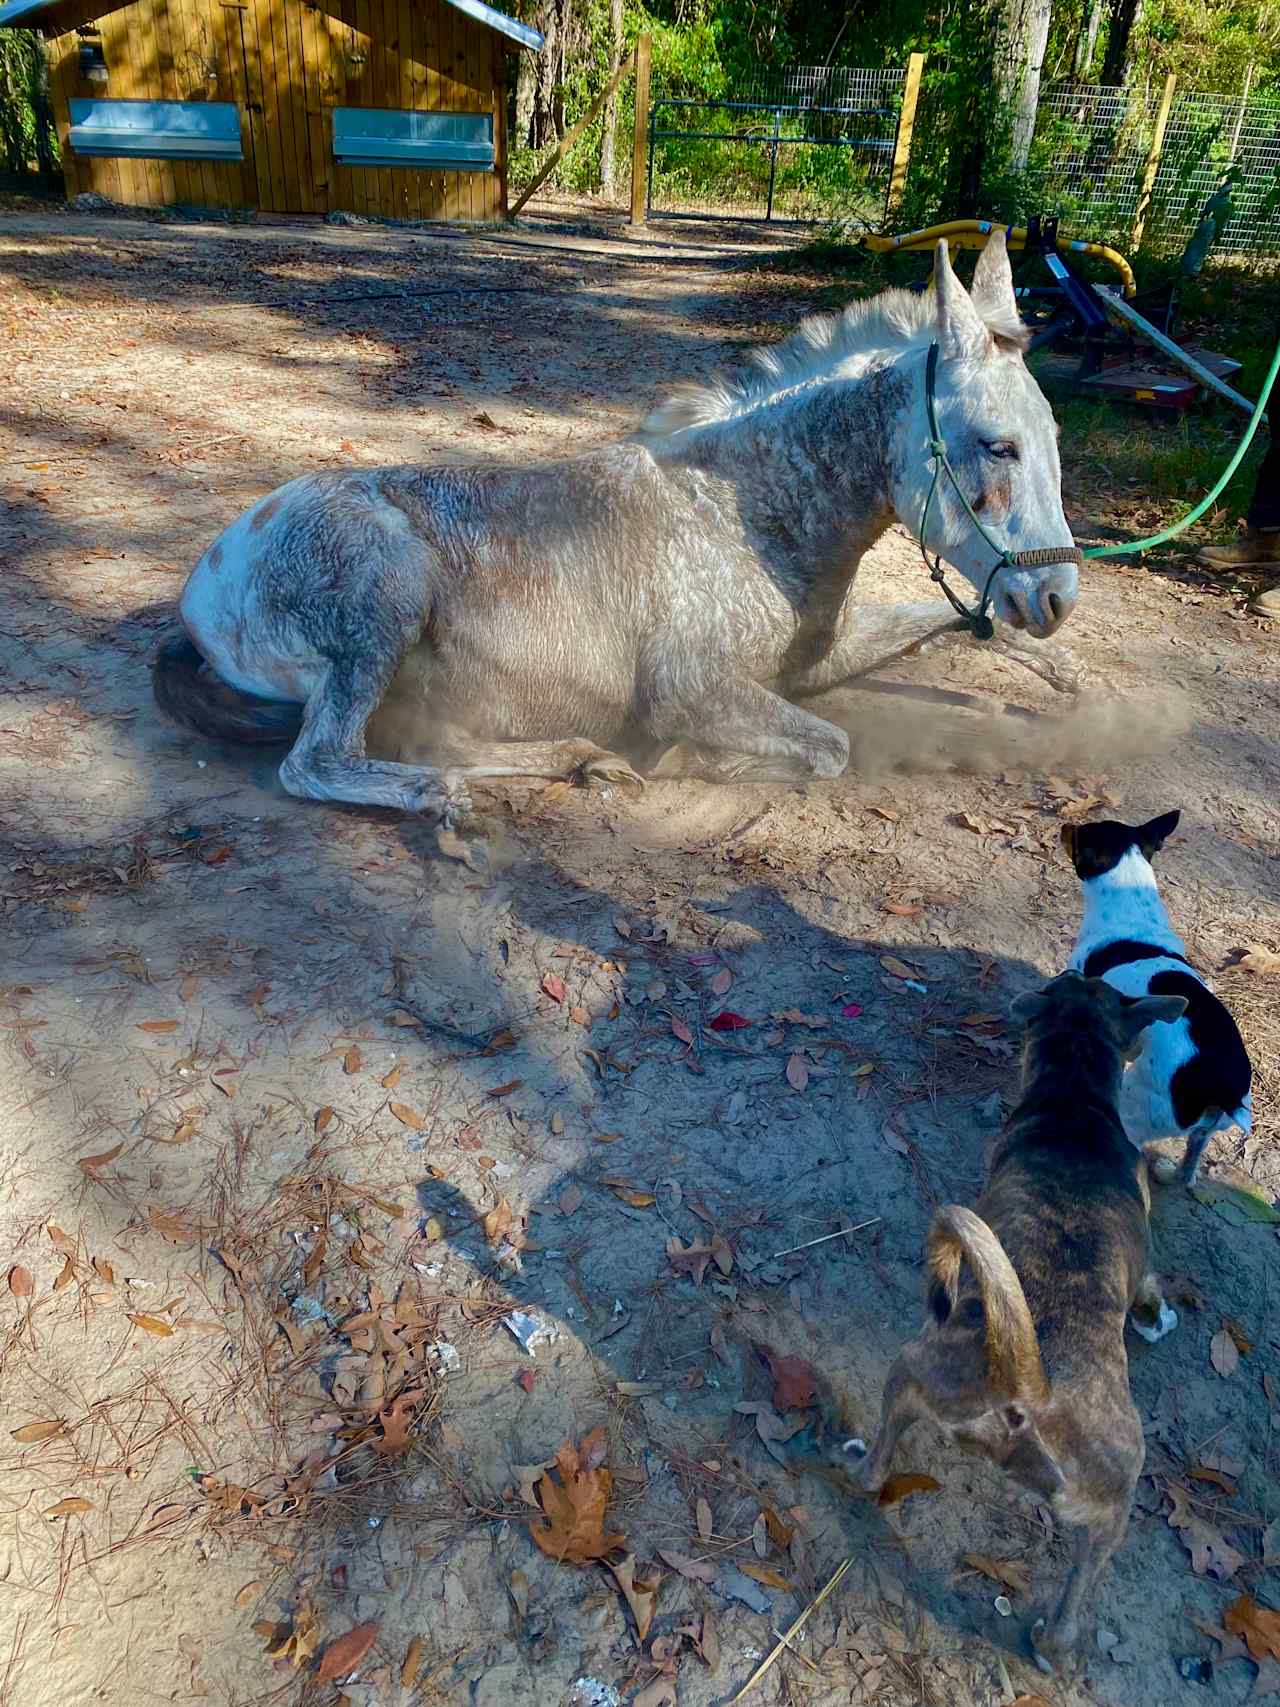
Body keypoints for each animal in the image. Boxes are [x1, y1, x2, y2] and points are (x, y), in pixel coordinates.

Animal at [1064, 805, 1256, 1181]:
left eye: (1078, 834)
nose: (1065, 825)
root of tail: (1223, 1087)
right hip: (1206, 1131)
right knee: (1190, 1164)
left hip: (1135, 1107)